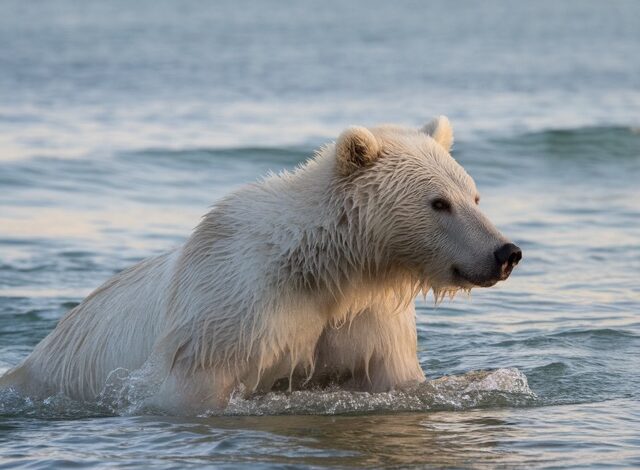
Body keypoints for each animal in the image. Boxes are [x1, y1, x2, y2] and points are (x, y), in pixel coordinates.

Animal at [0, 116, 522, 415]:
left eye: (474, 195)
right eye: (439, 203)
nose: (506, 253)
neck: (324, 268)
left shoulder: (365, 318)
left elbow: (394, 378)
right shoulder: (233, 312)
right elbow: (195, 389)